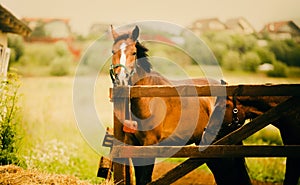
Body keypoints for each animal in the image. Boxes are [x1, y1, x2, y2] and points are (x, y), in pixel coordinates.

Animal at [108, 25, 251, 184]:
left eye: (133, 52)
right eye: (113, 51)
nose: (121, 80)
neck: (147, 99)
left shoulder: (150, 146)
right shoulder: (134, 147)